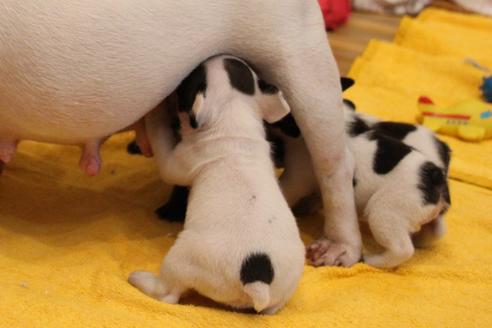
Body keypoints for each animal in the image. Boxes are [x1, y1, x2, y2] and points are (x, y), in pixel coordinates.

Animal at [127, 55, 306, 312]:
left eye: (189, 81)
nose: (213, 53)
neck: (234, 113)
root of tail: (257, 280)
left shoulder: (179, 160)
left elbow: (160, 138)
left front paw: (156, 112)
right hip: (282, 290)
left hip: (184, 258)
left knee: (168, 293)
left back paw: (141, 279)